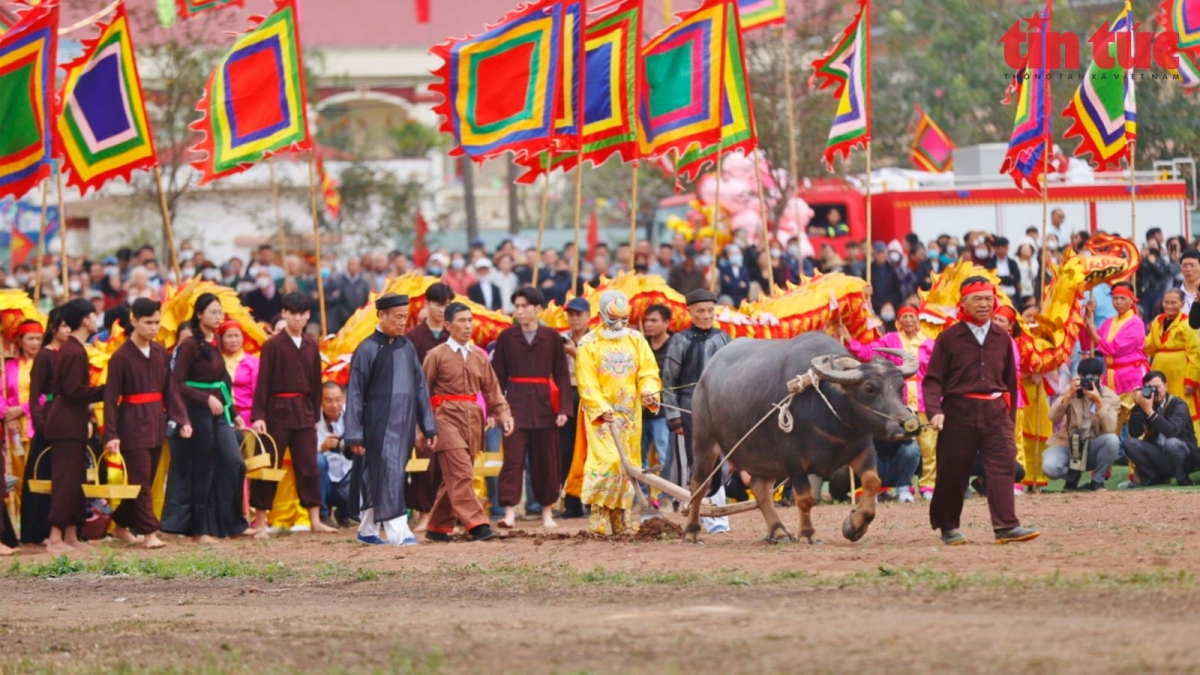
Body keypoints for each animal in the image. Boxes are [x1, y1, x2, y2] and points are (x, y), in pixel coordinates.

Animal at [686, 329, 916, 540]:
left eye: (900, 386)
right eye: (869, 388)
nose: (908, 424)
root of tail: (705, 376)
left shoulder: (863, 448)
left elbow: (873, 482)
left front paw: (854, 526)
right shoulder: (793, 459)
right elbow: (805, 498)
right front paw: (807, 533)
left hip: (762, 458)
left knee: (760, 489)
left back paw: (778, 531)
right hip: (704, 442)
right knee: (698, 485)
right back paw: (691, 530)